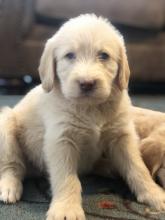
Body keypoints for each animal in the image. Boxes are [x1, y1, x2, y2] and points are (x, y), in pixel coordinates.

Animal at [0, 14, 165, 219]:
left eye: (104, 55)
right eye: (70, 55)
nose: (87, 83)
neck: (90, 108)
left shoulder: (122, 137)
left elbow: (137, 167)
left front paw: (153, 193)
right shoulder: (61, 140)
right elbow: (67, 177)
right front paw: (66, 208)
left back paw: (109, 167)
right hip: (6, 125)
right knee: (13, 165)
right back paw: (9, 187)